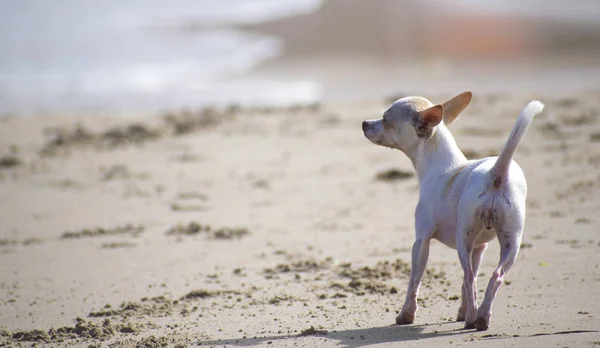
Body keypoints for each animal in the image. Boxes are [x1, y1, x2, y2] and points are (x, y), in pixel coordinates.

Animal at [360, 91, 544, 330]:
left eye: (385, 119)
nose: (364, 123)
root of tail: (496, 174)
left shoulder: (421, 241)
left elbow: (414, 281)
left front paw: (406, 315)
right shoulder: (479, 248)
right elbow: (467, 285)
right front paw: (462, 311)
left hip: (463, 239)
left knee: (470, 278)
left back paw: (472, 319)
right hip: (510, 241)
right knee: (491, 276)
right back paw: (482, 317)